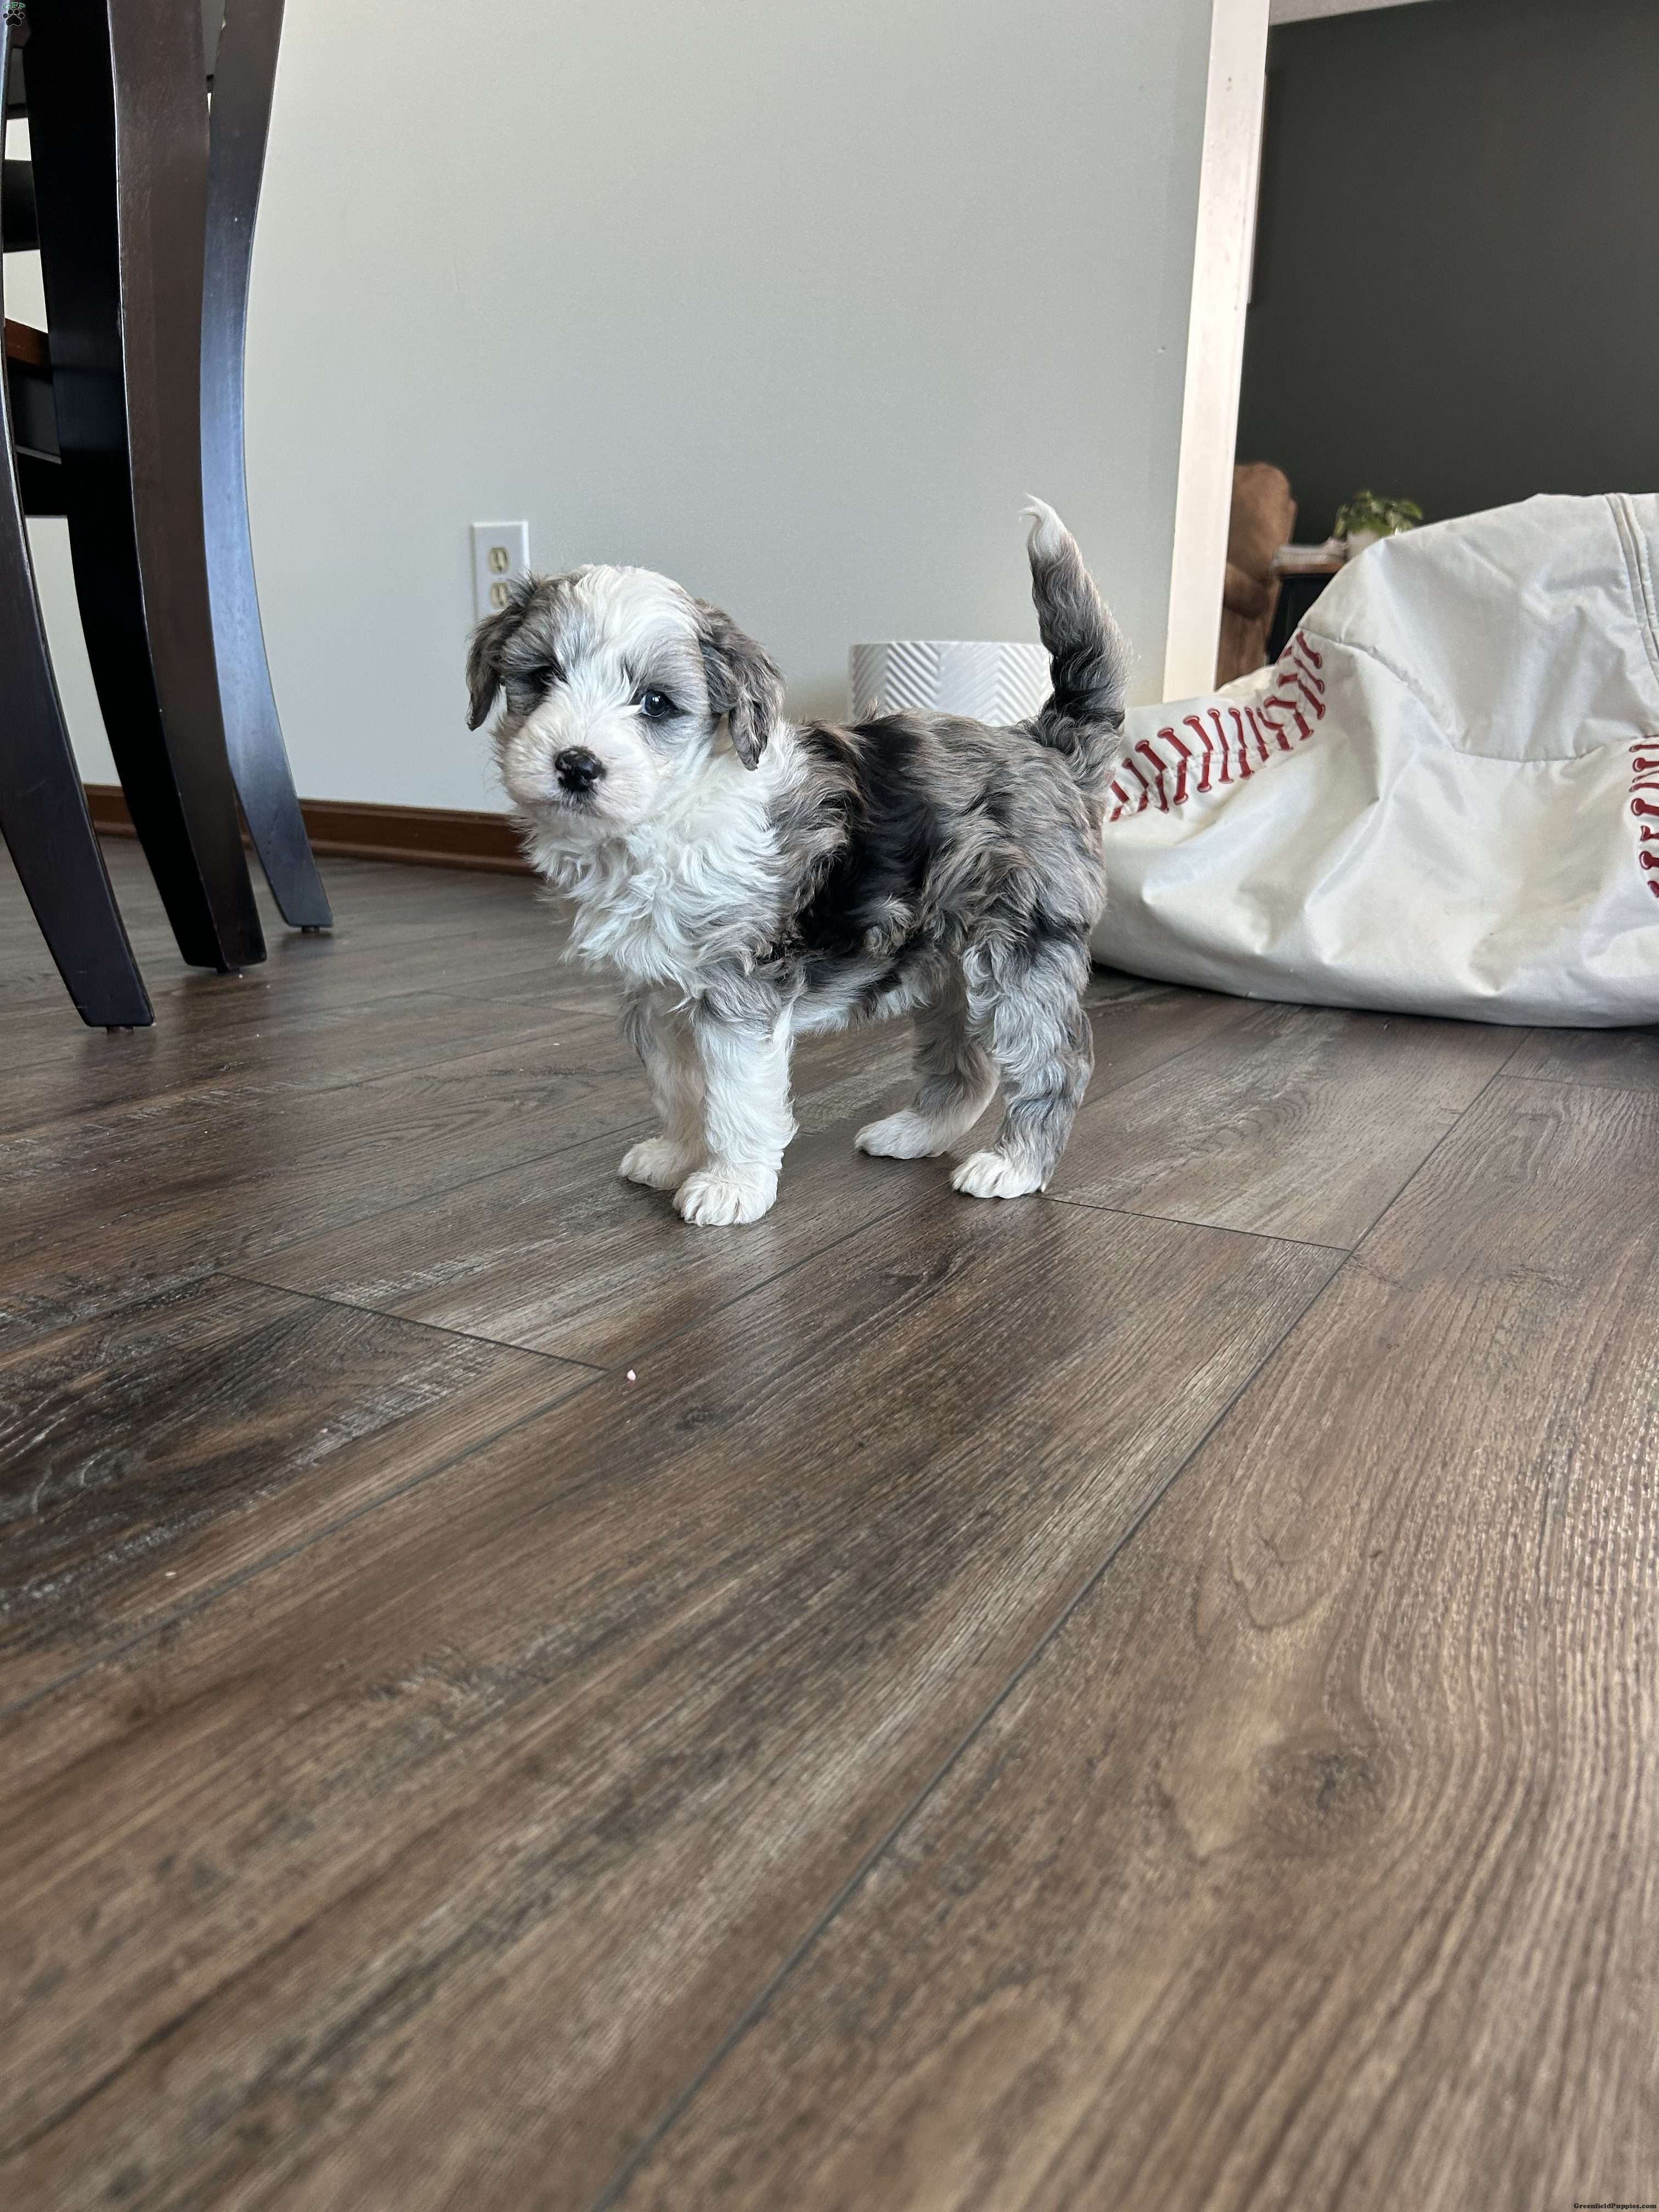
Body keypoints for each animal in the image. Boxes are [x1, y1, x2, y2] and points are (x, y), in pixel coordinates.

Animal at [465, 502, 1126, 1227]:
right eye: (541, 678)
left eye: (656, 703)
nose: (577, 765)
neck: (669, 816)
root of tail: (1048, 744)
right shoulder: (659, 990)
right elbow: (677, 1083)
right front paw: (675, 1156)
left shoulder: (739, 989)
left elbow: (732, 1095)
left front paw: (729, 1187)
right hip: (945, 961)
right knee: (967, 1064)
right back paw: (913, 1135)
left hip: (1022, 947)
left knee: (1053, 1061)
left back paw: (1012, 1167)